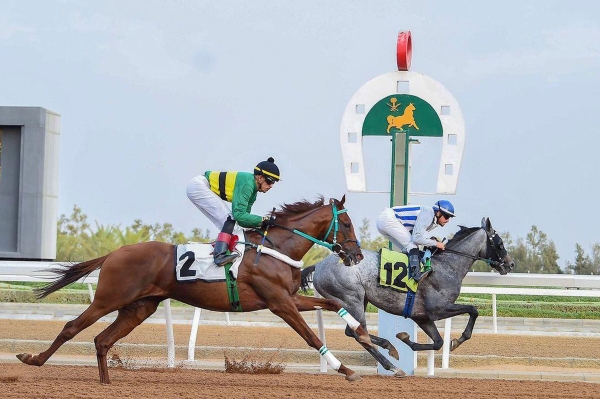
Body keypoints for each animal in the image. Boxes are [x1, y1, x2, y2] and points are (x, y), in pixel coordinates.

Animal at [17, 197, 370, 384]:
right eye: (347, 224)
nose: (357, 255)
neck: (275, 248)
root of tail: (115, 252)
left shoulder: (290, 297)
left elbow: (330, 303)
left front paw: (363, 332)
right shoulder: (279, 302)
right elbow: (311, 337)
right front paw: (346, 369)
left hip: (140, 307)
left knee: (102, 339)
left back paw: (105, 382)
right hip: (109, 298)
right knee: (72, 327)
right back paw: (32, 358)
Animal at [302, 217, 512, 376]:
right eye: (500, 243)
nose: (510, 264)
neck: (448, 266)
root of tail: (319, 265)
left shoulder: (422, 316)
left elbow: (438, 342)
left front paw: (404, 338)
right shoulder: (438, 310)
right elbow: (473, 310)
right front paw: (457, 341)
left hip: (359, 301)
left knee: (352, 332)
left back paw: (390, 348)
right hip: (351, 298)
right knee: (359, 334)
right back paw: (392, 366)